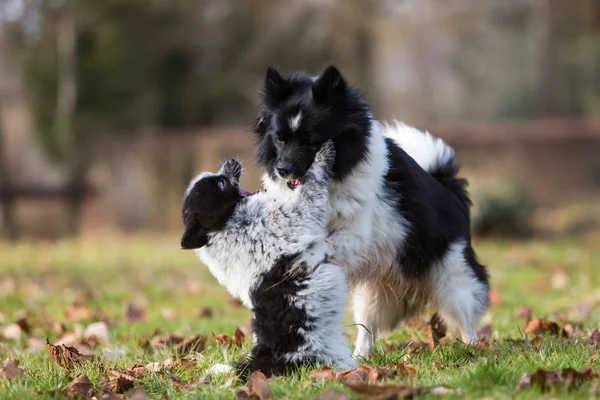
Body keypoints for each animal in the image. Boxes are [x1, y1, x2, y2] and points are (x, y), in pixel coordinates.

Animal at [178, 142, 356, 376]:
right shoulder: (290, 217)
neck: (224, 224)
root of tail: (261, 363)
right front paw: (322, 157)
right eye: (222, 183)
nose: (230, 161)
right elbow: (310, 189)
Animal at [251, 65, 490, 356]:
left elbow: (327, 243)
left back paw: (474, 348)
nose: (283, 169)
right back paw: (359, 357)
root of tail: (450, 189)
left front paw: (305, 260)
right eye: (280, 139)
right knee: (368, 329)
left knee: (465, 317)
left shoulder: (356, 235)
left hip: (453, 278)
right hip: (373, 296)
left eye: (312, 141)